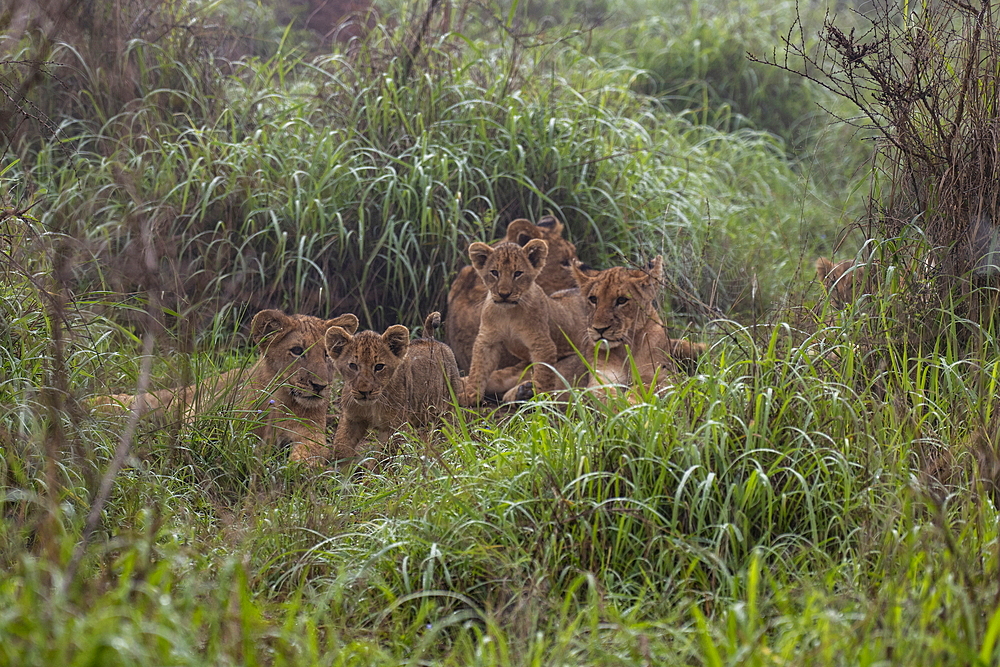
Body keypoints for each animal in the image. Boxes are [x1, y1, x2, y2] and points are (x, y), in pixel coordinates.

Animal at [88, 310, 358, 462]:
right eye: (297, 351)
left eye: (327, 355)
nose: (320, 386)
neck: (282, 401)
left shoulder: (310, 432)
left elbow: (312, 453)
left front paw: (296, 468)